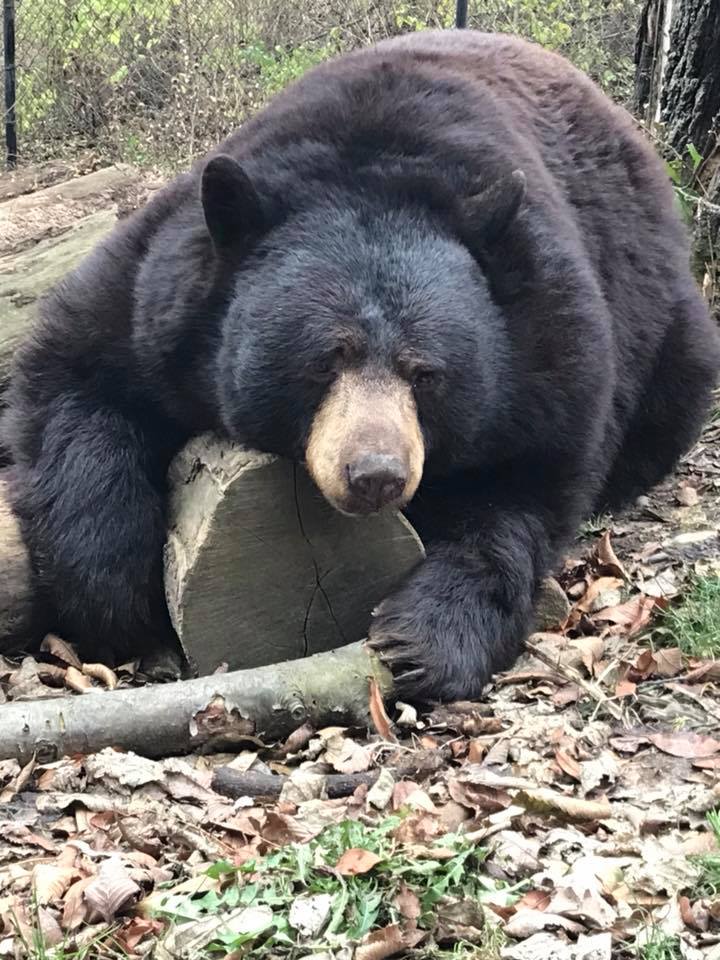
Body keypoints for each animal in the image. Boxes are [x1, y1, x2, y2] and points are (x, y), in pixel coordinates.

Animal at [3, 28, 719, 703]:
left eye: (425, 374)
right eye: (325, 360)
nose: (376, 475)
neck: (376, 162)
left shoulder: (547, 343)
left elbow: (524, 488)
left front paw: (422, 640)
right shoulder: (163, 292)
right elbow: (79, 379)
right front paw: (118, 601)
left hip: (663, 328)